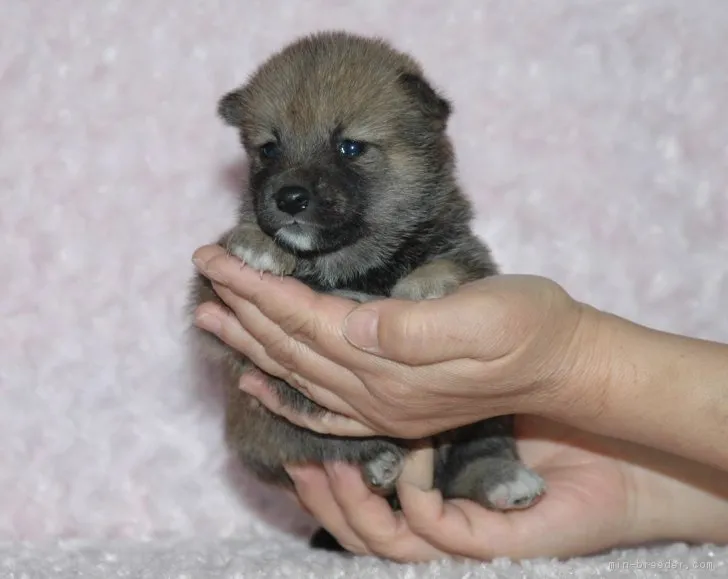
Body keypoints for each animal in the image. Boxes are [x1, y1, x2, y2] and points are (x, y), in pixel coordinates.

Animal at [188, 32, 544, 552]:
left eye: (350, 147)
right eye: (269, 150)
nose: (288, 198)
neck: (351, 265)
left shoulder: (467, 253)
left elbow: (451, 264)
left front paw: (422, 286)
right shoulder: (212, 311)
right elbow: (219, 274)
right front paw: (257, 243)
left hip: (485, 416)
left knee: (476, 457)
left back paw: (506, 480)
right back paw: (382, 462)